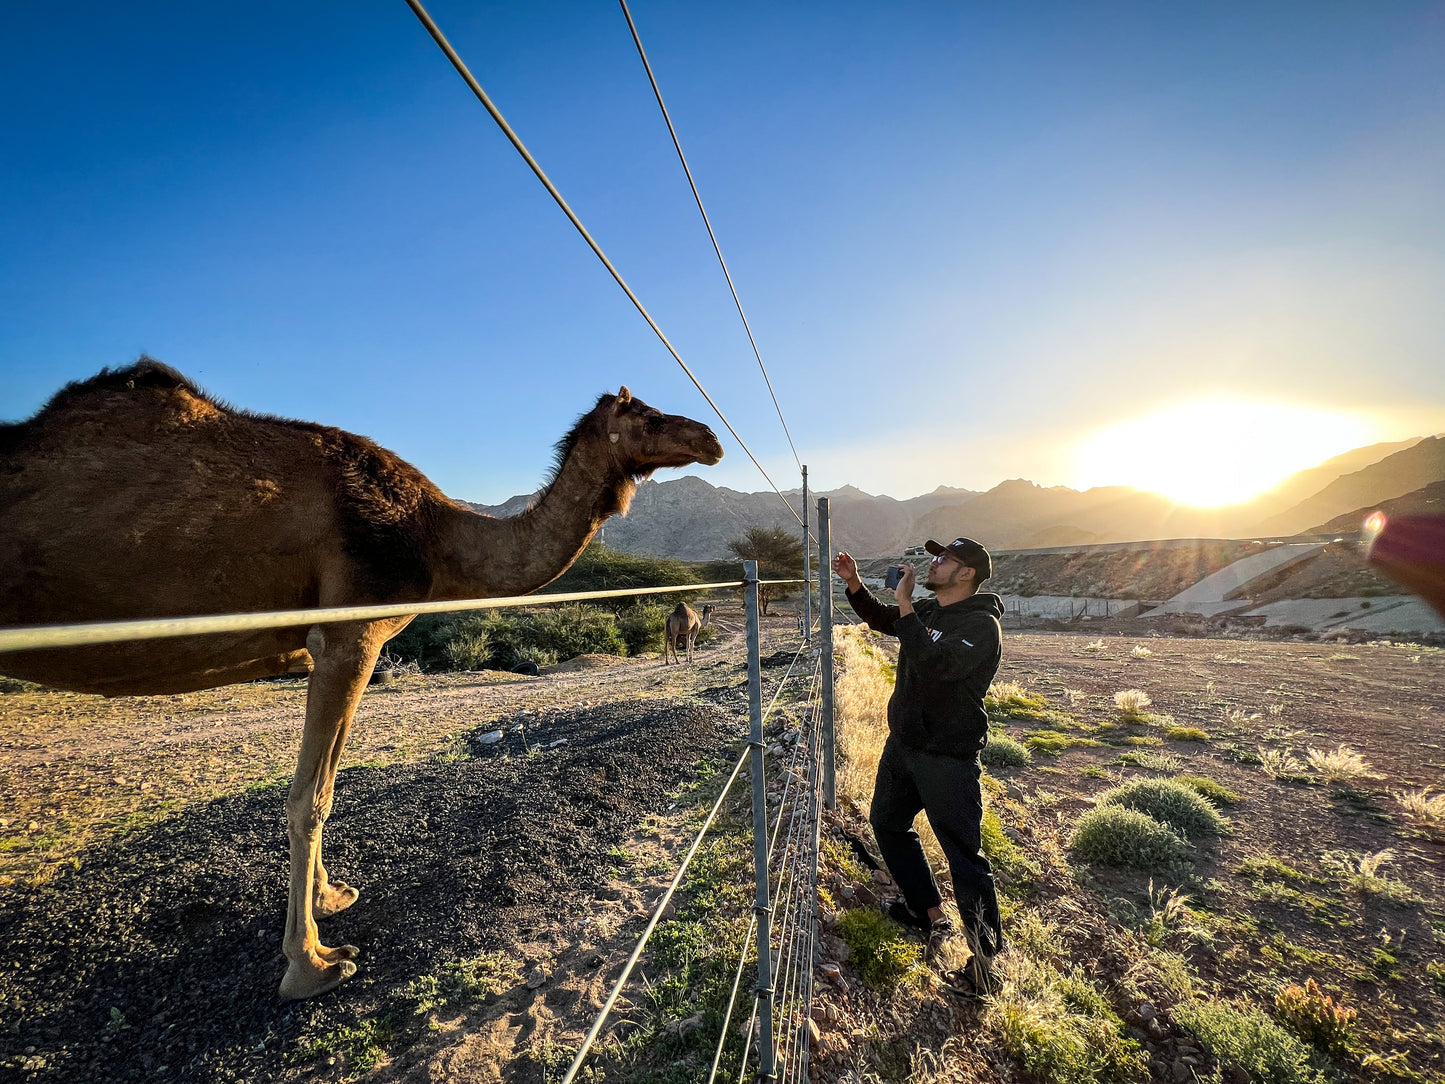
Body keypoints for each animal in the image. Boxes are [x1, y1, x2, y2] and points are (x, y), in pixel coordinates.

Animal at [0, 358, 719, 1000]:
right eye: (647, 415)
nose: (709, 439)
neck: (435, 534)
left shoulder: (342, 650)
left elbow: (324, 785)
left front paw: (329, 896)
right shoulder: (350, 636)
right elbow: (310, 796)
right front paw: (312, 964)